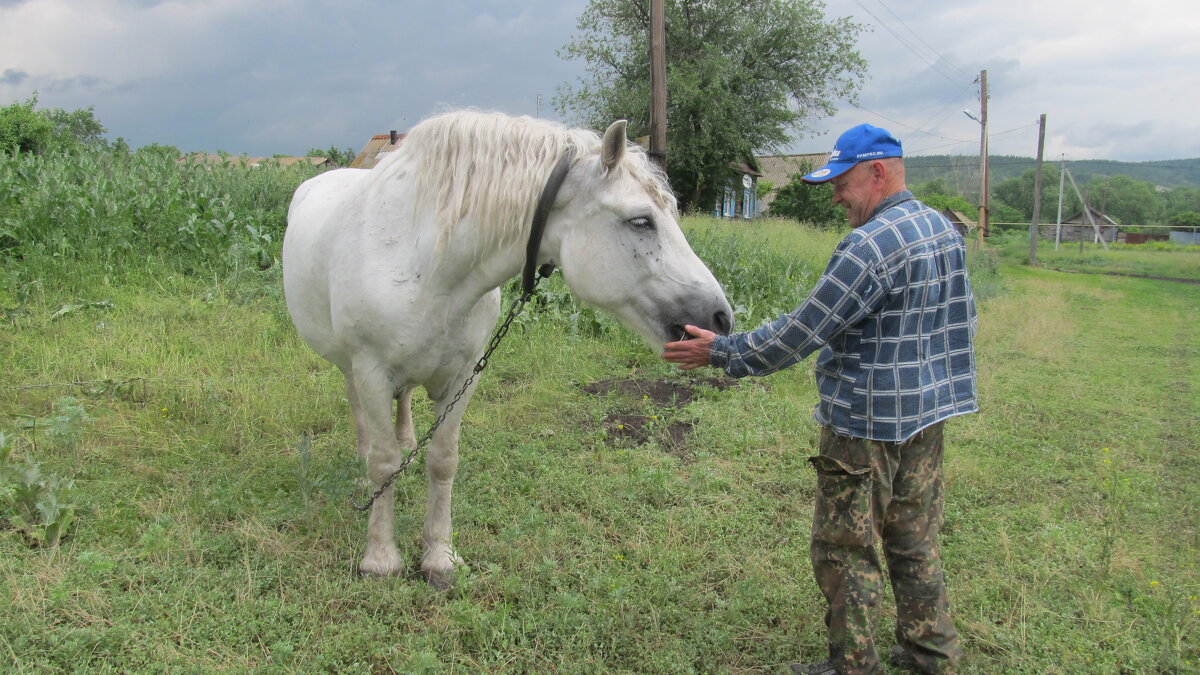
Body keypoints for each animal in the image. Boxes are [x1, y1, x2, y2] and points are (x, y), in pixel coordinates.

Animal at [283, 110, 729, 583]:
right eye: (641, 220)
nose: (720, 317)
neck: (422, 262)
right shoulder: (371, 369)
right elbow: (383, 462)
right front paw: (381, 557)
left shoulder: (463, 376)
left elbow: (443, 459)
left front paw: (440, 556)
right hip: (350, 367)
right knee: (361, 415)